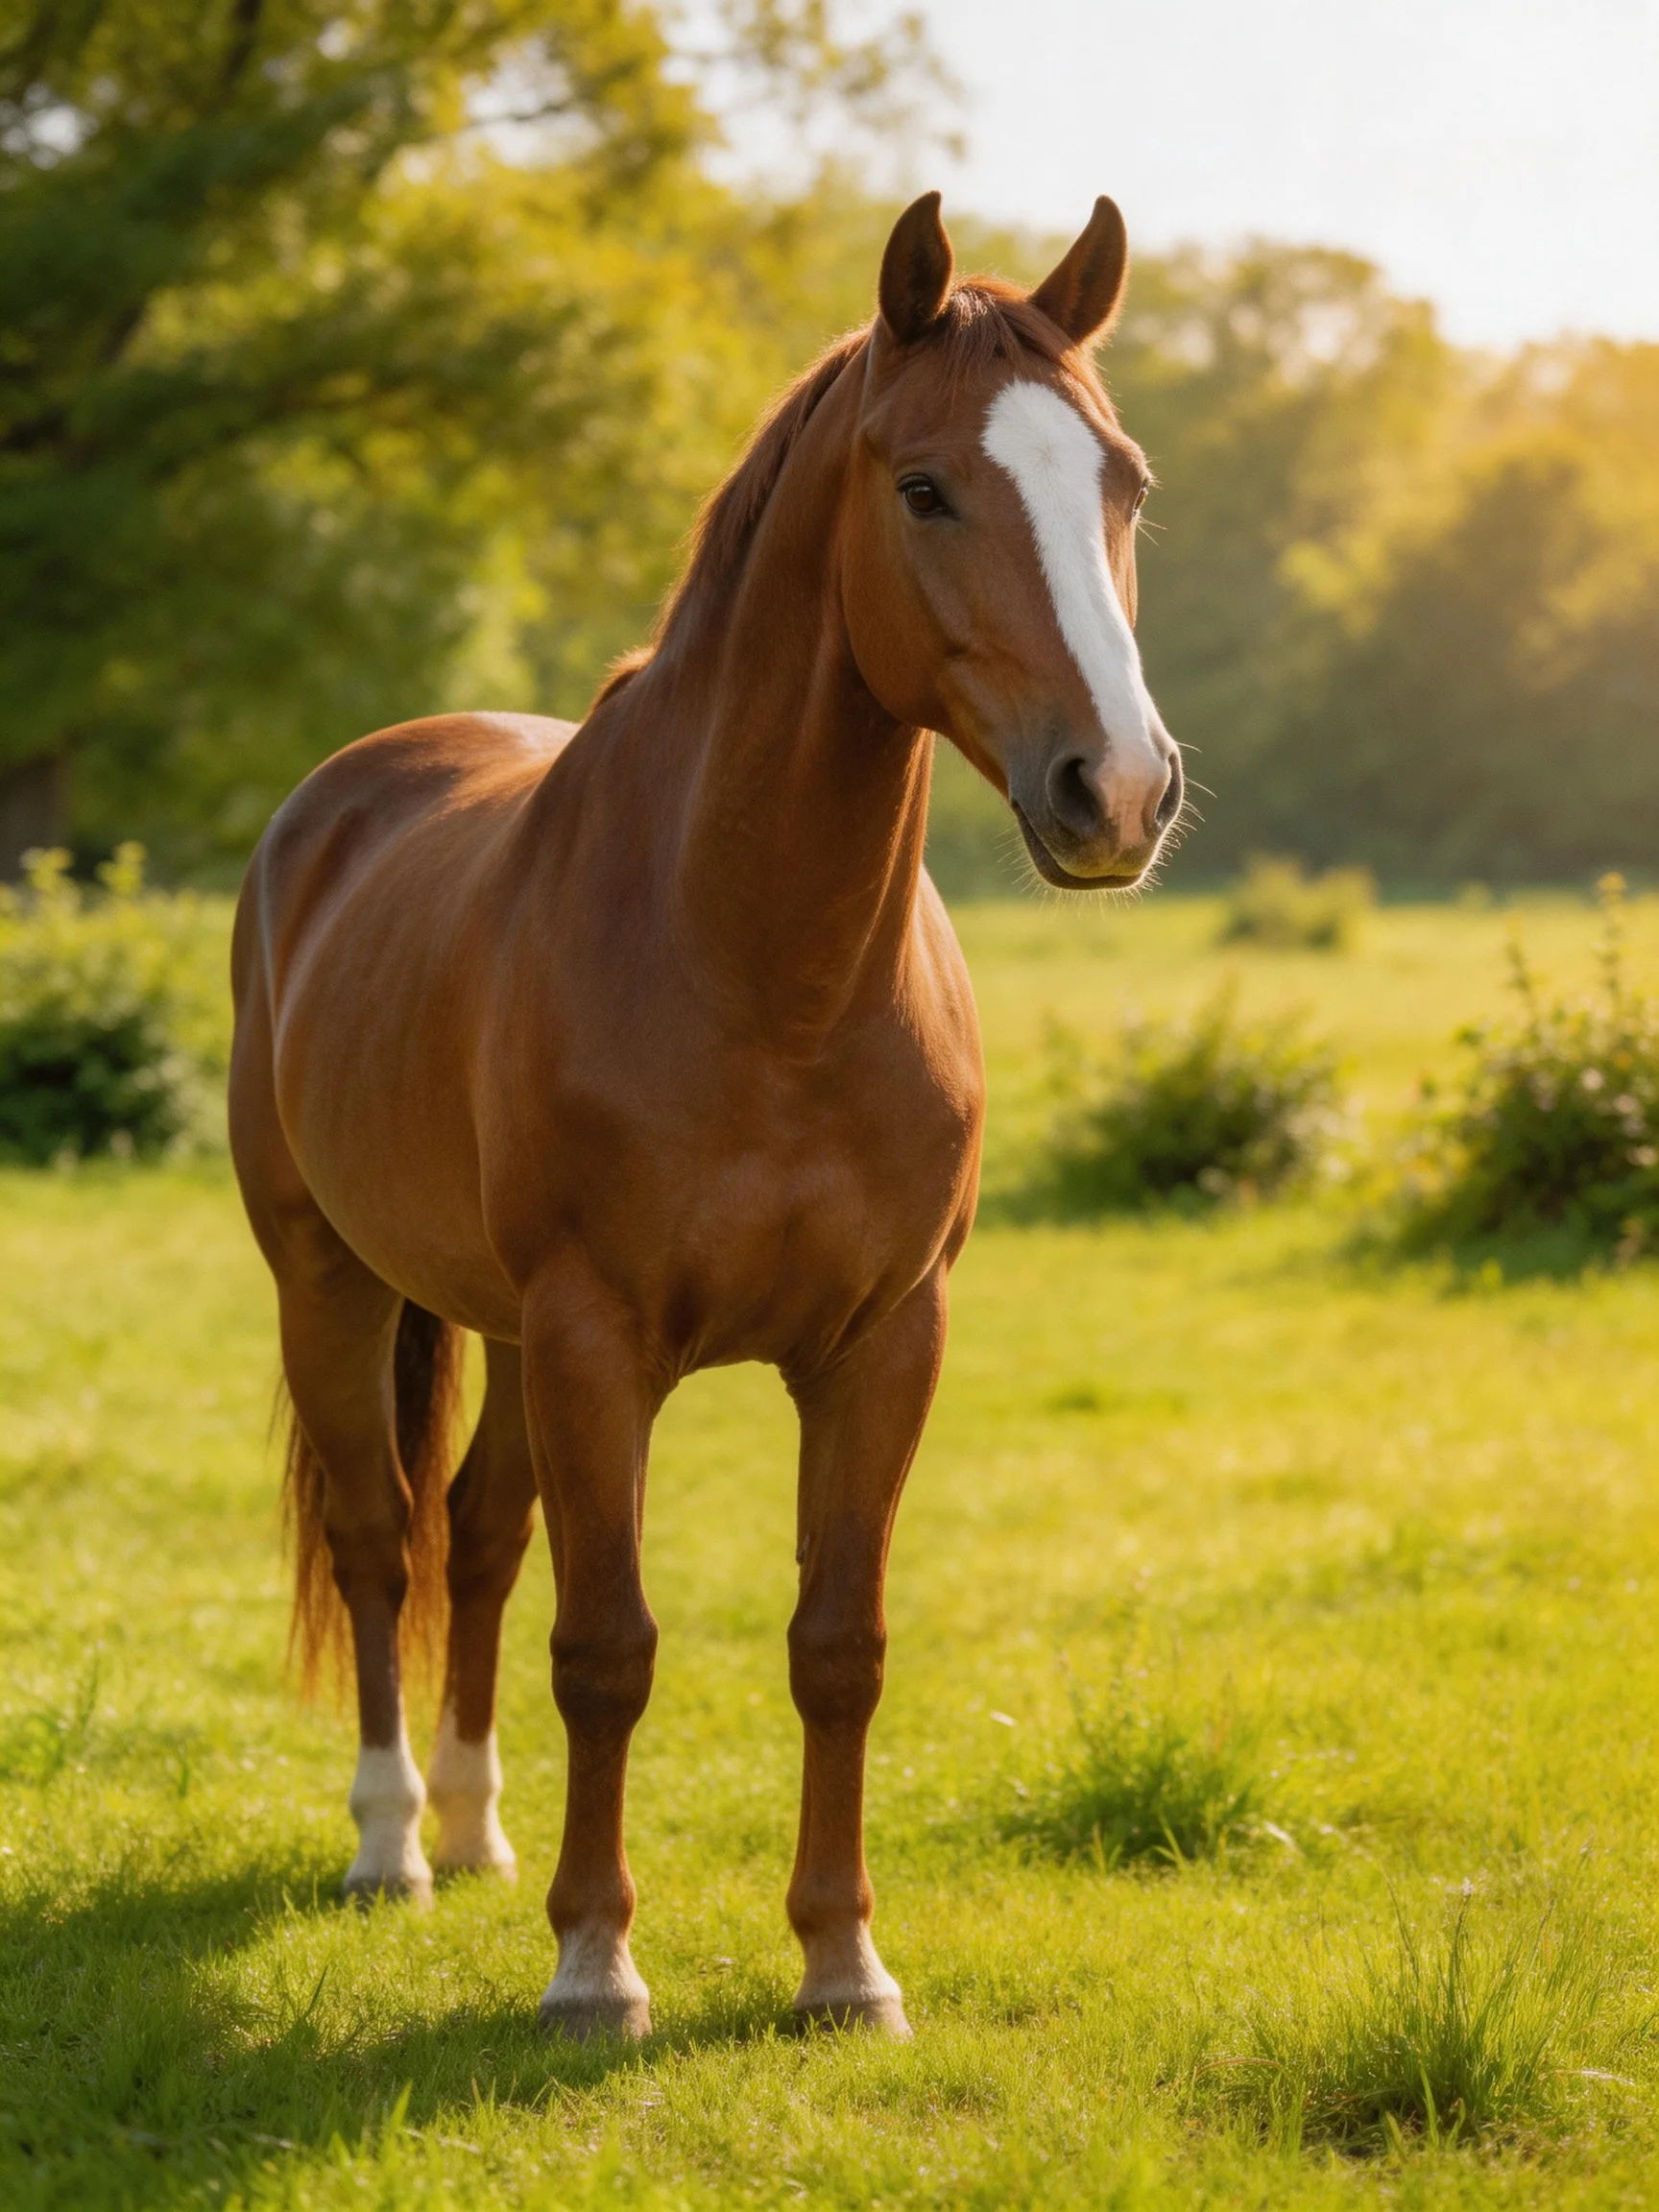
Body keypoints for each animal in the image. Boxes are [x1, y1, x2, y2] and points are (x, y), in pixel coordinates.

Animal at [229, 189, 1182, 2042]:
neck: (761, 975)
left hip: (500, 1327)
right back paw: (390, 1842)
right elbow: (607, 1648)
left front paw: (841, 1961)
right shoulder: (601, 1338)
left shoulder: (882, 1342)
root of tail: (340, 797)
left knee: (476, 1535)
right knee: (383, 1542)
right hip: (333, 1281)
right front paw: (597, 1966)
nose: (1118, 791)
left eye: (1123, 483)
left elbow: (836, 1644)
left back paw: (475, 1830)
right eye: (923, 486)